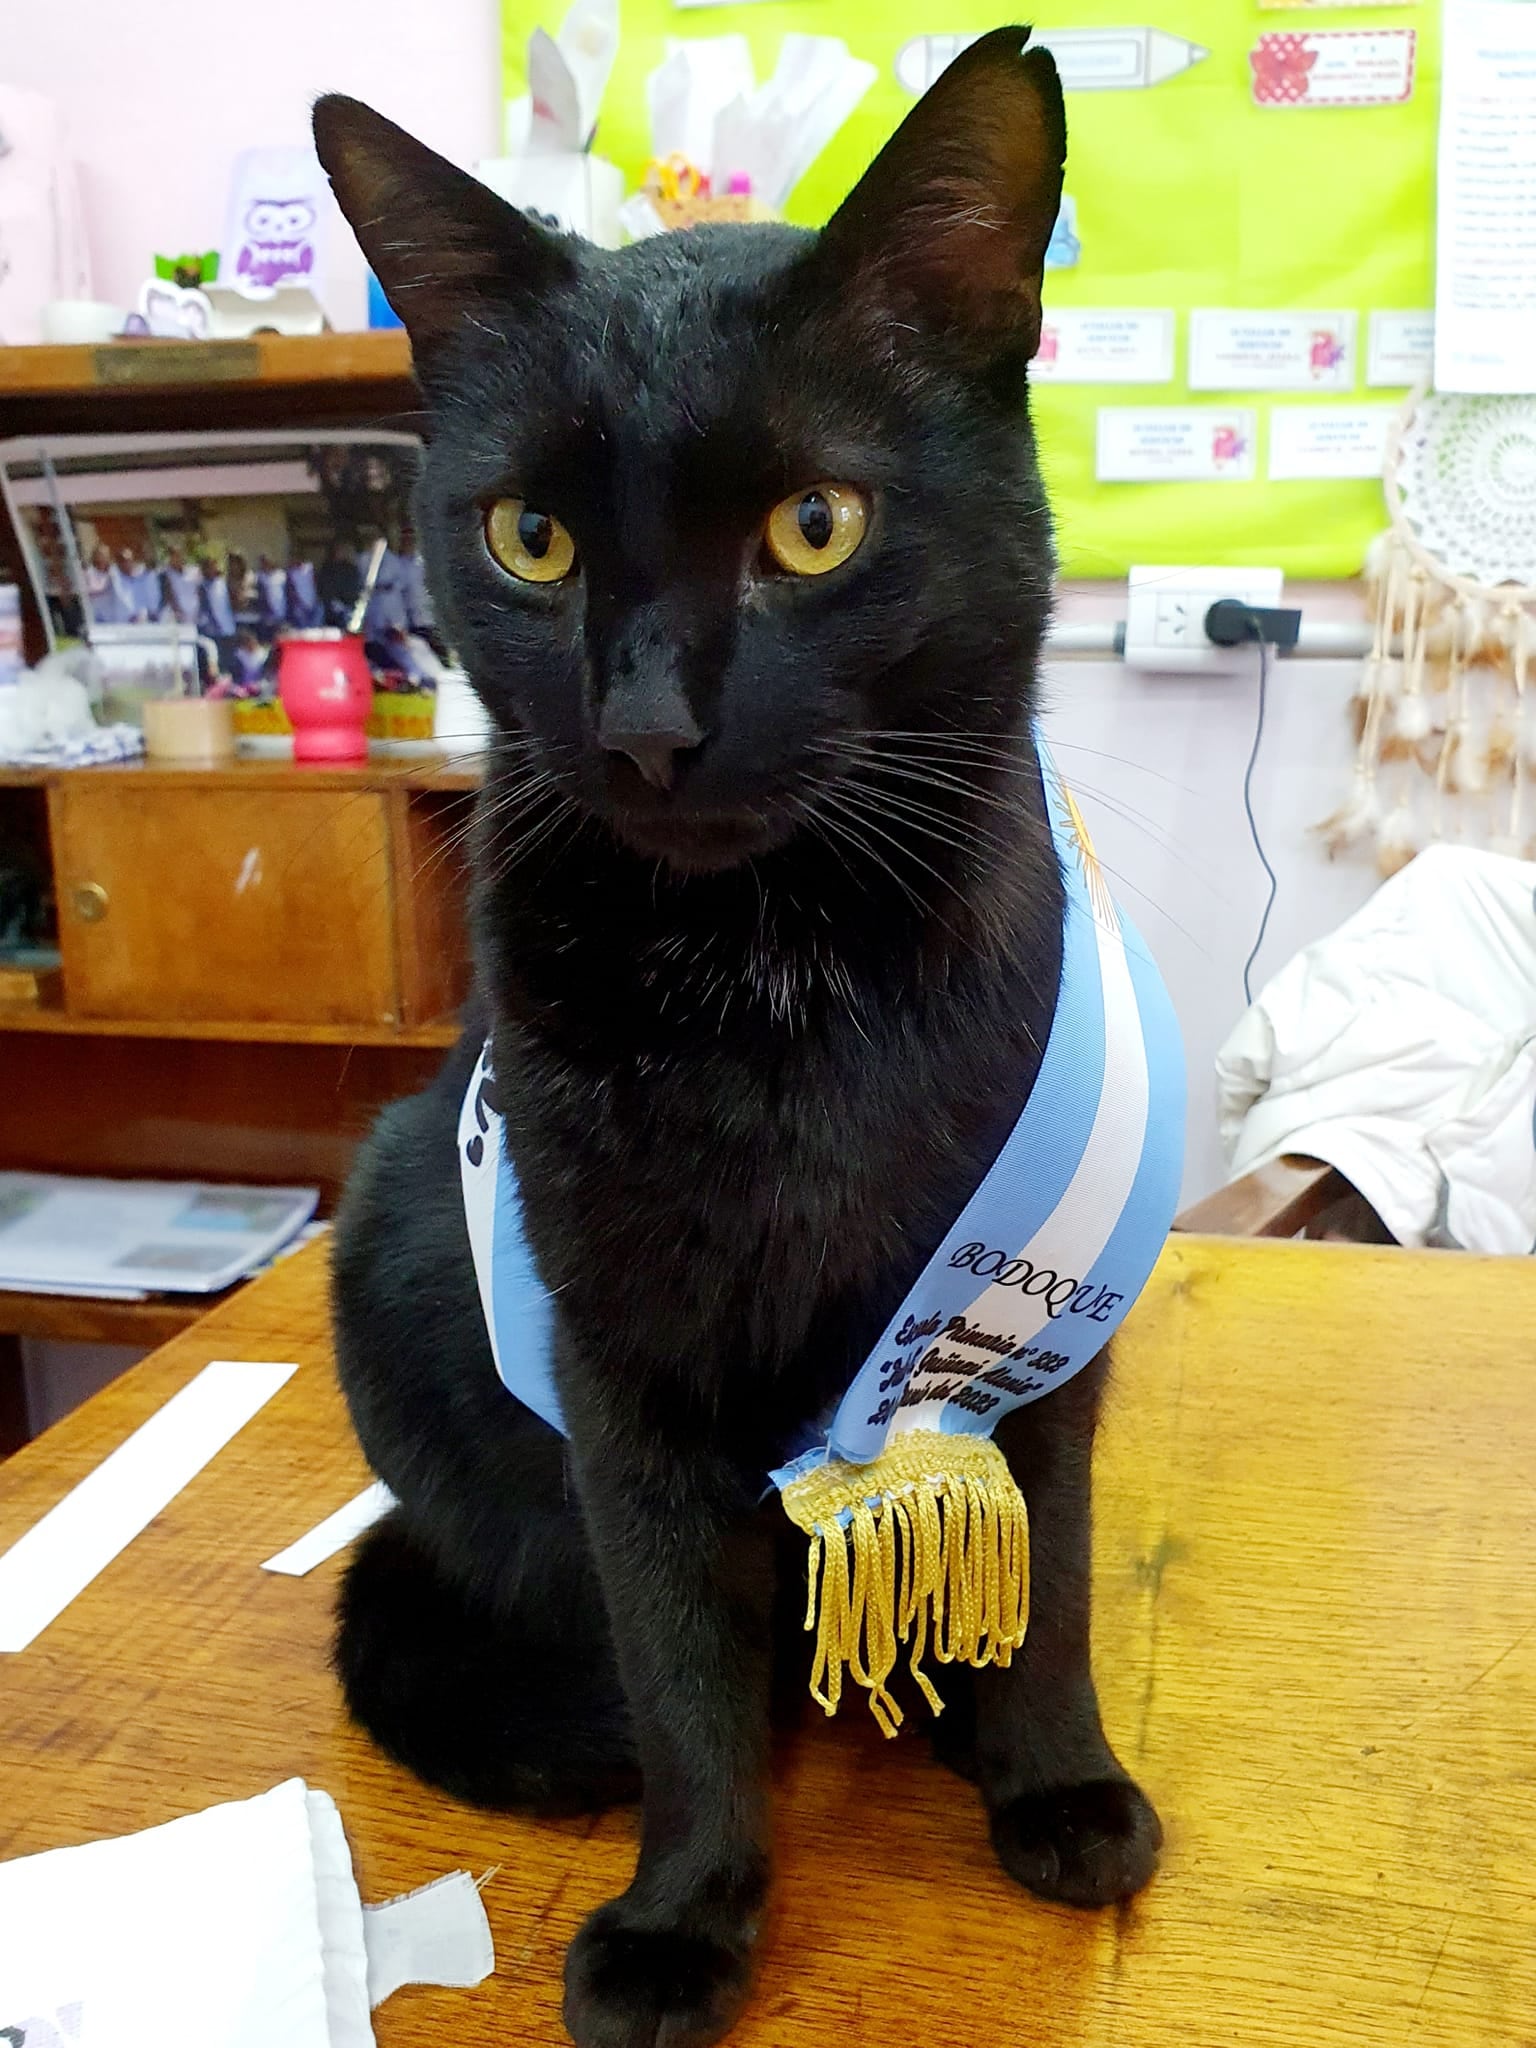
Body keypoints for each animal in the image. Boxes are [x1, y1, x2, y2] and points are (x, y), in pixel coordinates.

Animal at [319, 24, 1163, 2039]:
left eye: (814, 525)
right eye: (531, 538)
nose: (646, 726)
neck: (780, 988)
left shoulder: (1034, 1330)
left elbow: (1055, 1577)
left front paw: (1055, 1777)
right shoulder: (615, 1358)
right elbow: (684, 1671)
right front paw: (685, 1917)